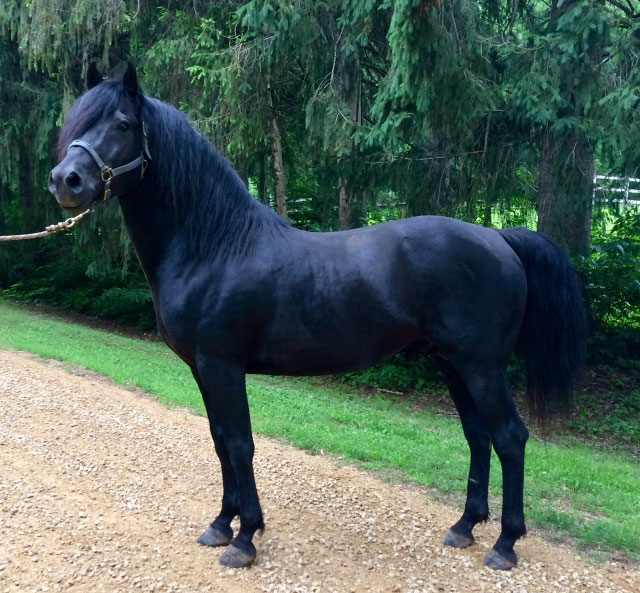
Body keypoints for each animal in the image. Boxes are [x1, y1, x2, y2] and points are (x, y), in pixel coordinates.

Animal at [48, 63, 586, 570]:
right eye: (75, 121)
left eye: (122, 123)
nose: (65, 180)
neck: (216, 245)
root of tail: (499, 238)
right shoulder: (202, 368)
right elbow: (220, 440)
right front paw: (221, 524)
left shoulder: (223, 365)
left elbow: (240, 443)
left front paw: (245, 538)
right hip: (453, 364)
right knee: (479, 436)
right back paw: (464, 527)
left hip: (481, 367)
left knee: (509, 438)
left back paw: (505, 545)